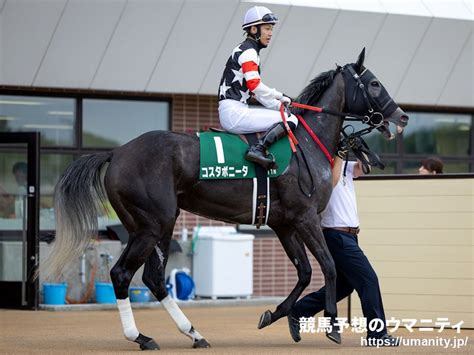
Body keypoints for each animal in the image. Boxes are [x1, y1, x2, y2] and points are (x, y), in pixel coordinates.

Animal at [42, 49, 410, 350]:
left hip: (157, 225)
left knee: (153, 279)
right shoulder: (305, 217)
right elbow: (329, 266)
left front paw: (275, 314)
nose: (402, 117)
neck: (305, 142)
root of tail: (117, 152)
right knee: (121, 274)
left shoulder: (285, 224)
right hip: (151, 225)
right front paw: (332, 325)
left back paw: (193, 333)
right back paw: (142, 337)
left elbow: (305, 272)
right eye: (374, 83)